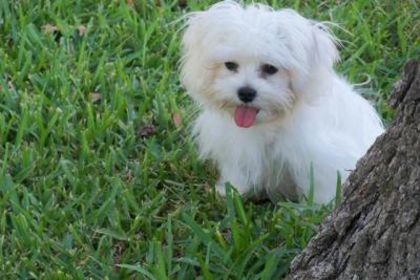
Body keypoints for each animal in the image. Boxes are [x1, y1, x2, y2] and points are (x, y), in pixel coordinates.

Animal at [179, 1, 382, 205]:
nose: (245, 92)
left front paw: (322, 207)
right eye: (230, 65)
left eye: (270, 68)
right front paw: (229, 193)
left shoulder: (323, 157)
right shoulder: (236, 147)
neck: (270, 122)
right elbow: (237, 172)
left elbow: (322, 184)